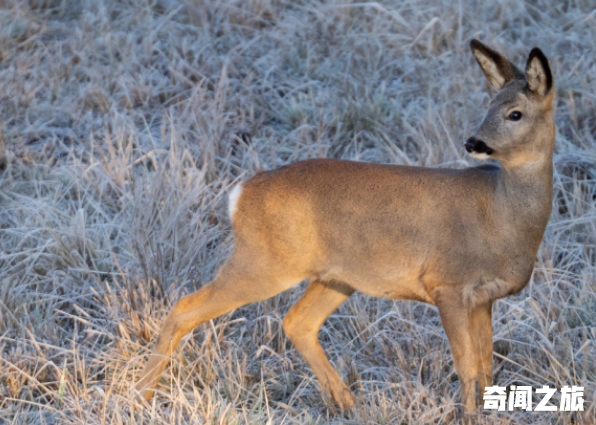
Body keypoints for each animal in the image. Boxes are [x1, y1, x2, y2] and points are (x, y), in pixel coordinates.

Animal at [135, 39, 556, 418]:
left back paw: (349, 403)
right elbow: (467, 365)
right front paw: (470, 417)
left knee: (298, 322)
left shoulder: (485, 297)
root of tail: (241, 193)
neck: (500, 216)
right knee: (184, 307)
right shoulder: (447, 283)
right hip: (264, 262)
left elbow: (485, 366)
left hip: (334, 276)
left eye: (514, 113)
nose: (473, 142)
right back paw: (140, 395)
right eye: (489, 107)